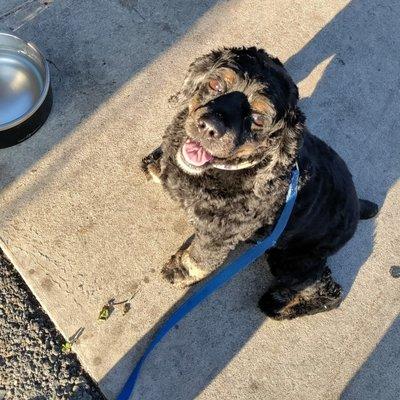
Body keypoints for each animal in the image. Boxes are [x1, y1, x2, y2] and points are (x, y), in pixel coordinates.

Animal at [141, 47, 378, 320]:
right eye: (214, 84)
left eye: (257, 118)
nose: (210, 127)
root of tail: (357, 207)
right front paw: (157, 164)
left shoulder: (218, 236)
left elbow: (200, 259)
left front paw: (179, 271)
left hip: (291, 258)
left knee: (327, 290)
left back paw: (278, 304)